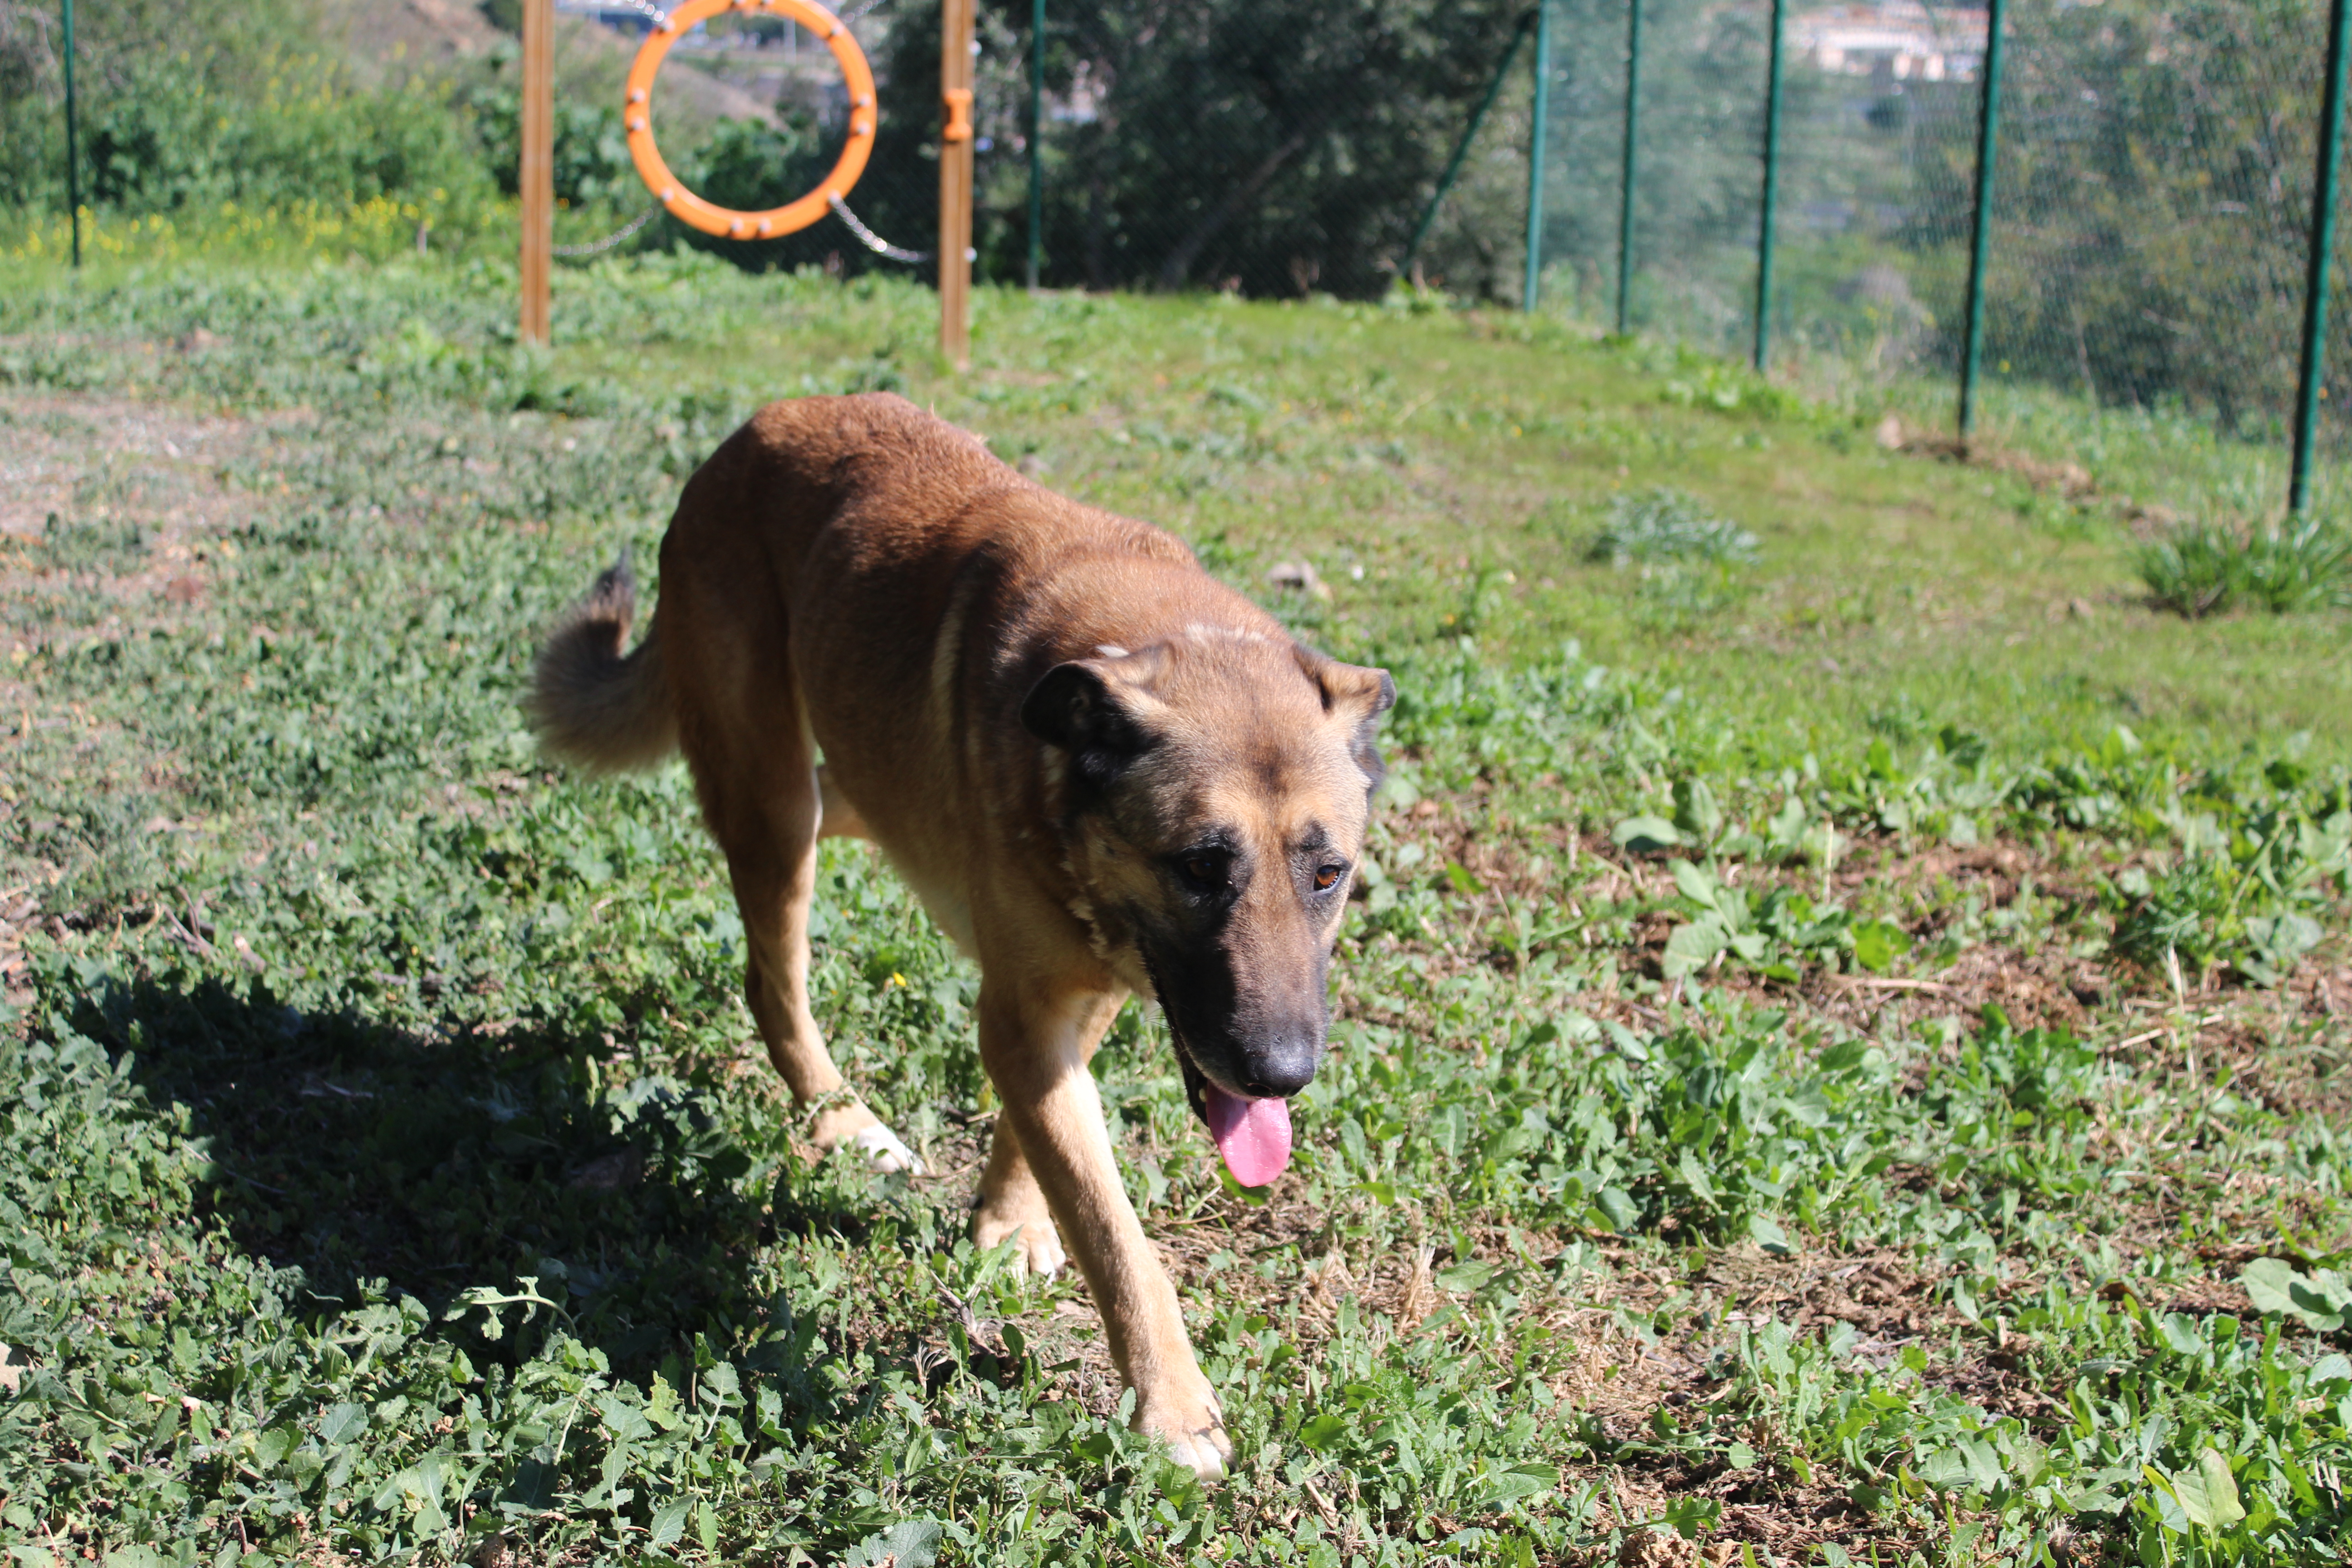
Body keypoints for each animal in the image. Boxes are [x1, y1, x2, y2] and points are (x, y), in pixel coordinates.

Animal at [524, 395, 1383, 1485]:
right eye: (1199, 866)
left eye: (1328, 875)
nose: (1281, 1075)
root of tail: (753, 429)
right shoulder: (1029, 1010)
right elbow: (1115, 1233)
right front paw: (1172, 1410)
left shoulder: (1075, 991)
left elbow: (1043, 1143)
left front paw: (1009, 1223)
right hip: (769, 806)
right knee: (773, 981)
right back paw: (842, 1124)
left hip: (828, 790)